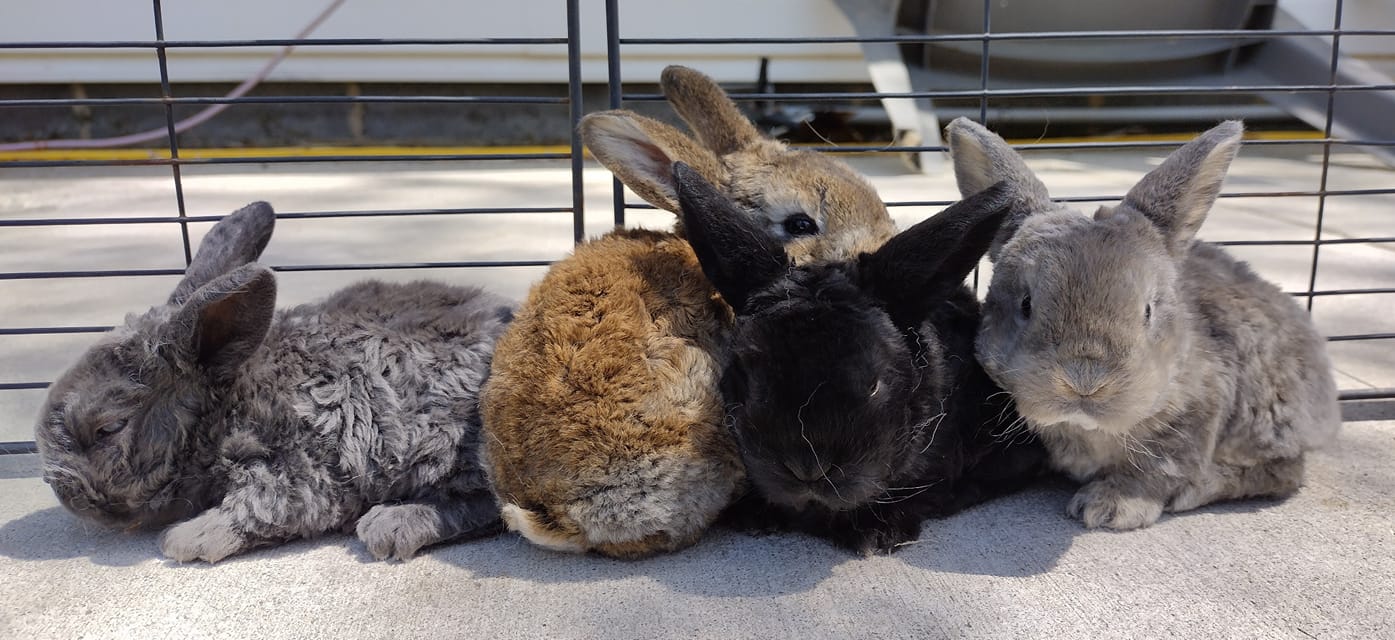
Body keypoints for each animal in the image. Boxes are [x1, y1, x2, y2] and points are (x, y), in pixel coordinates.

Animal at [34, 201, 515, 563]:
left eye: (108, 428)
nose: (62, 492)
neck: (227, 403)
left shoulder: (298, 463)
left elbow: (259, 506)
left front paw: (187, 539)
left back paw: (394, 524)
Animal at [945, 117, 1341, 530]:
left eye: (1148, 311)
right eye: (1025, 305)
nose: (1085, 382)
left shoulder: (1191, 424)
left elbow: (1156, 470)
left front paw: (1109, 508)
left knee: (1285, 472)